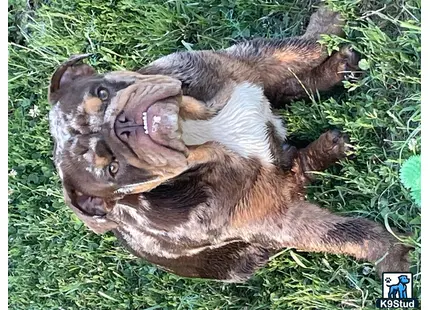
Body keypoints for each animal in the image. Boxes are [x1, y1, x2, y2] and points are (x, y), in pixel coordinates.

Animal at [47, 6, 410, 282]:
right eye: (113, 169)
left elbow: (298, 47)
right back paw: (326, 145)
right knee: (297, 168)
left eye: (101, 93)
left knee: (288, 94)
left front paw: (328, 21)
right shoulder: (279, 219)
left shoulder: (244, 61)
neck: (197, 127)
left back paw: (336, 74)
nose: (120, 124)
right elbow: (346, 234)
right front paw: (392, 252)